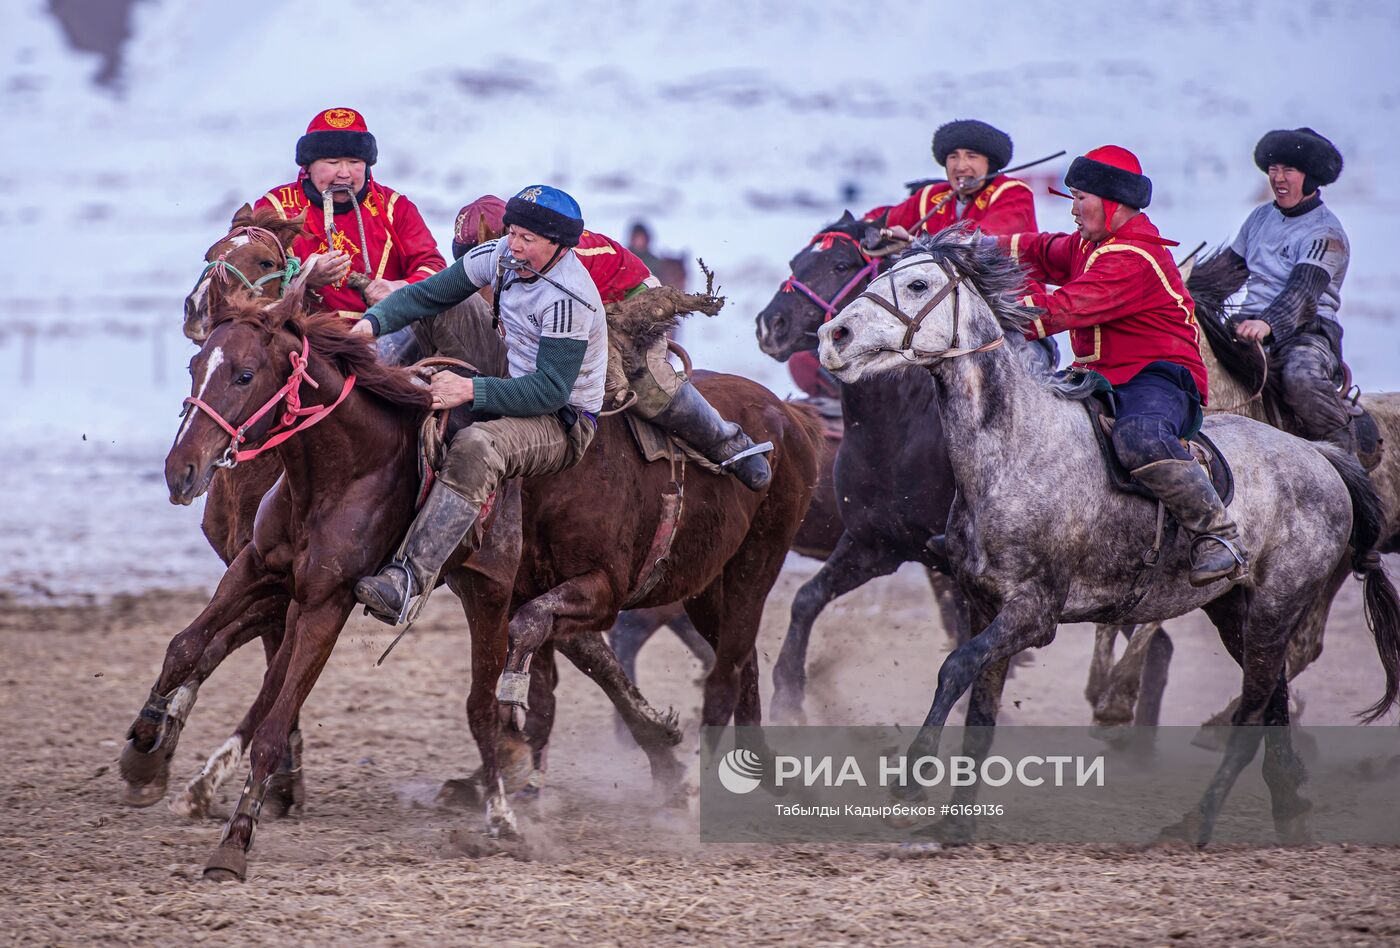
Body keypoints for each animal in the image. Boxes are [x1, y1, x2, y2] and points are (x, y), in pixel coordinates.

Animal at [817, 235, 1400, 845]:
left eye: (918, 284)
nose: (834, 335)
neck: (1014, 451)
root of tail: (1321, 455)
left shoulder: (1032, 613)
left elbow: (955, 667)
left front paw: (913, 773)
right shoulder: (983, 605)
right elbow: (979, 711)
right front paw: (956, 823)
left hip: (1275, 606)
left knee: (1253, 712)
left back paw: (1196, 820)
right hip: (1234, 612)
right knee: (1273, 701)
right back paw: (1286, 810)